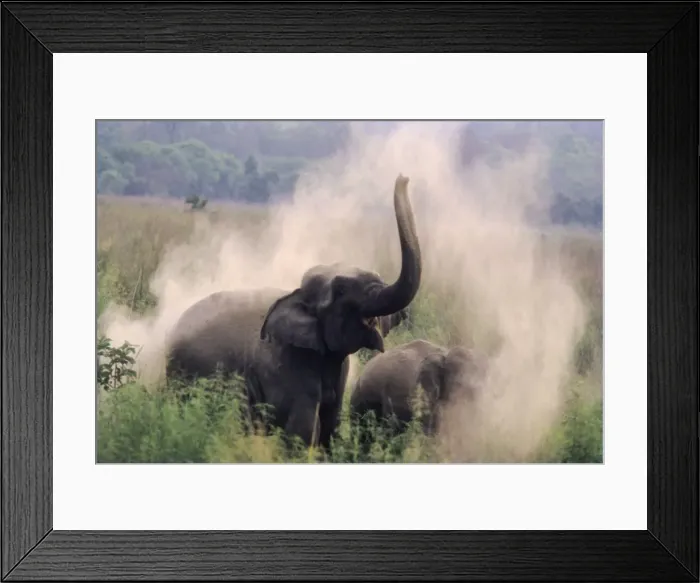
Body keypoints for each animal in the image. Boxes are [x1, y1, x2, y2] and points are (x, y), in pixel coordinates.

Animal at [164, 174, 422, 450]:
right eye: (341, 290)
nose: (403, 177)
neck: (295, 294)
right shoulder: (289, 364)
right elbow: (303, 429)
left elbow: (329, 424)